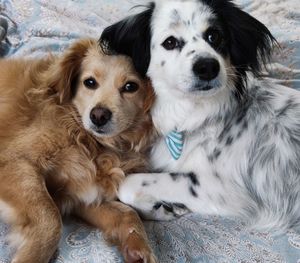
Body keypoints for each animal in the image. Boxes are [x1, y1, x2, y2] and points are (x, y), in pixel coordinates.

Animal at [0, 38, 156, 263]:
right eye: (89, 82)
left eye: (130, 86)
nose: (98, 115)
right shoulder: (14, 162)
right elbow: (51, 219)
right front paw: (30, 256)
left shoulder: (79, 195)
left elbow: (127, 213)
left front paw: (139, 248)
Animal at [101, 0, 300, 231]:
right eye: (170, 42)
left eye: (214, 36)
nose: (207, 66)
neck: (194, 117)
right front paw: (164, 207)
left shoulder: (222, 189)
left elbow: (127, 183)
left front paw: (158, 207)